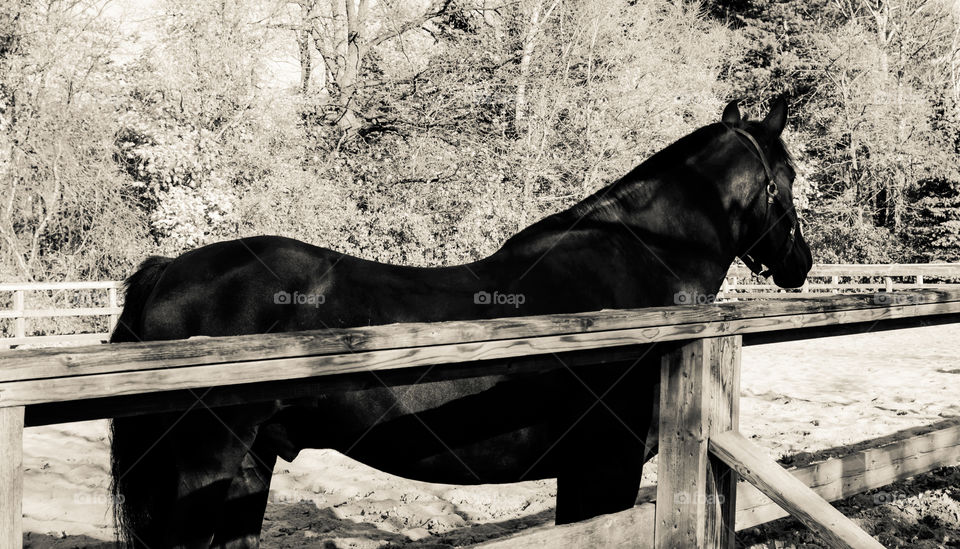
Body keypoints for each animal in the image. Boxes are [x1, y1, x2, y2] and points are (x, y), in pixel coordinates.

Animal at [107, 96, 808, 544]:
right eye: (790, 175)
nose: (799, 262)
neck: (633, 271)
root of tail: (168, 269)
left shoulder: (584, 469)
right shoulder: (606, 465)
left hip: (250, 467)